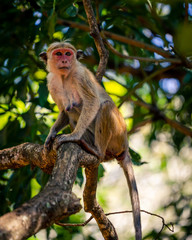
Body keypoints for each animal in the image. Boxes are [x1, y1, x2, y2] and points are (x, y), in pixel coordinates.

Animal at [39, 41, 142, 240]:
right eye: (58, 53)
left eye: (68, 53)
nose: (64, 60)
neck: (64, 76)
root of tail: (125, 144)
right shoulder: (51, 82)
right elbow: (64, 111)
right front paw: (51, 135)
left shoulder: (81, 75)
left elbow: (92, 103)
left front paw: (73, 136)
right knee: (72, 109)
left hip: (117, 137)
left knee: (105, 107)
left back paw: (97, 152)